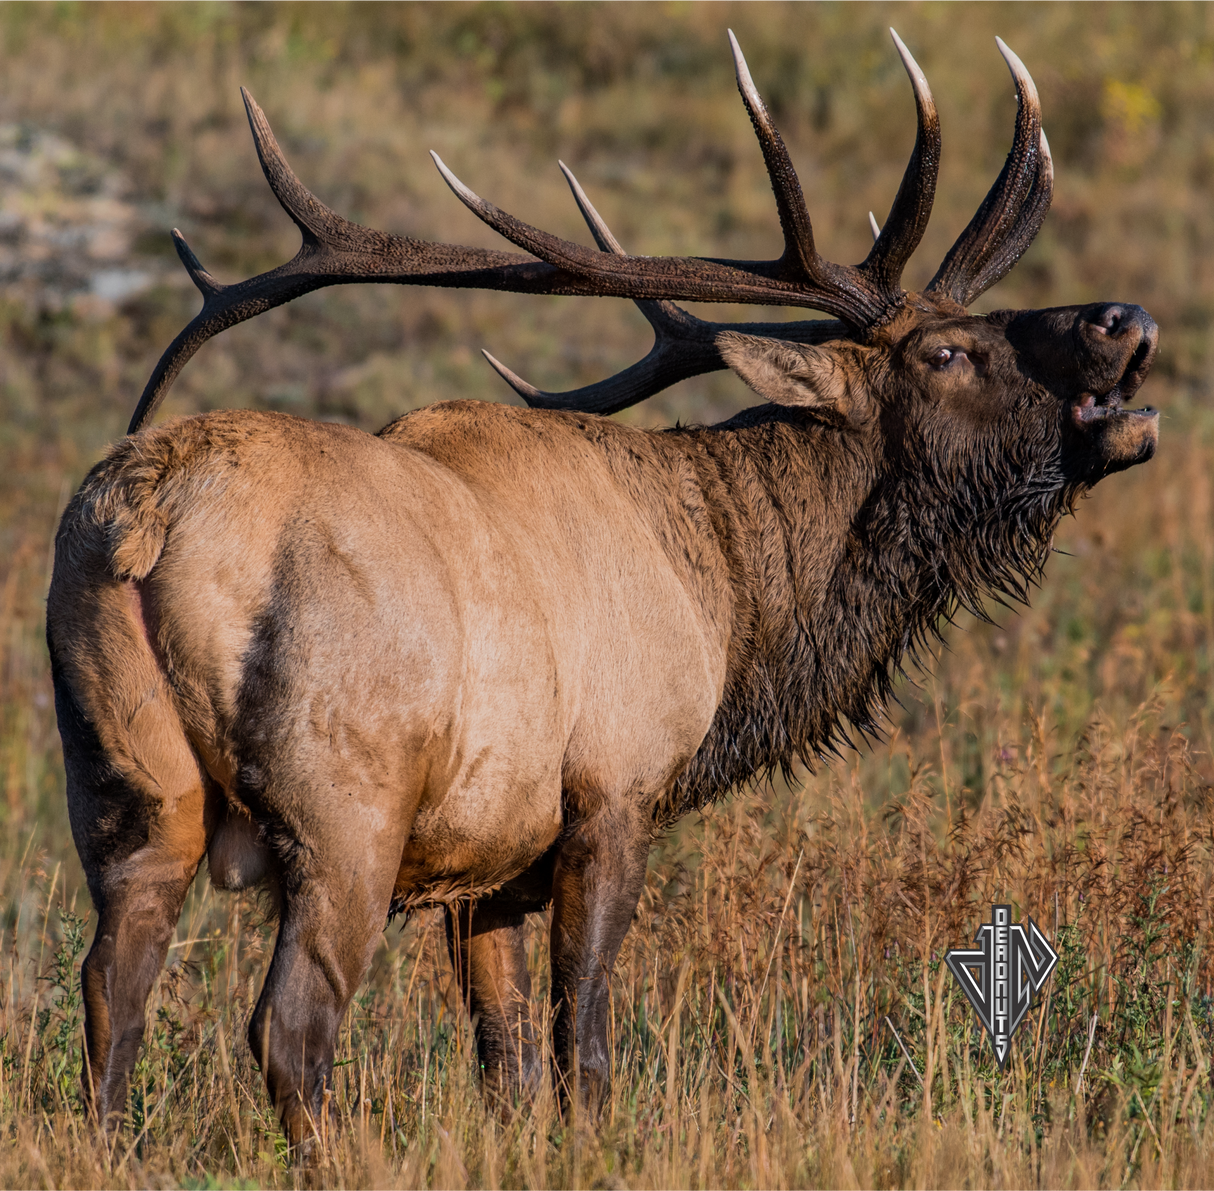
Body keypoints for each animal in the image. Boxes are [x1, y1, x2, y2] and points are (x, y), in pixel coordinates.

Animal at [46, 30, 1158, 1154]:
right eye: (947, 351)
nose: (1124, 316)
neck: (726, 599)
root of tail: (150, 513)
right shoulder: (614, 790)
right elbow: (582, 1037)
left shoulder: (488, 860)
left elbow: (507, 1061)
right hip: (343, 804)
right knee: (291, 1027)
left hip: (125, 785)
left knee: (109, 991)